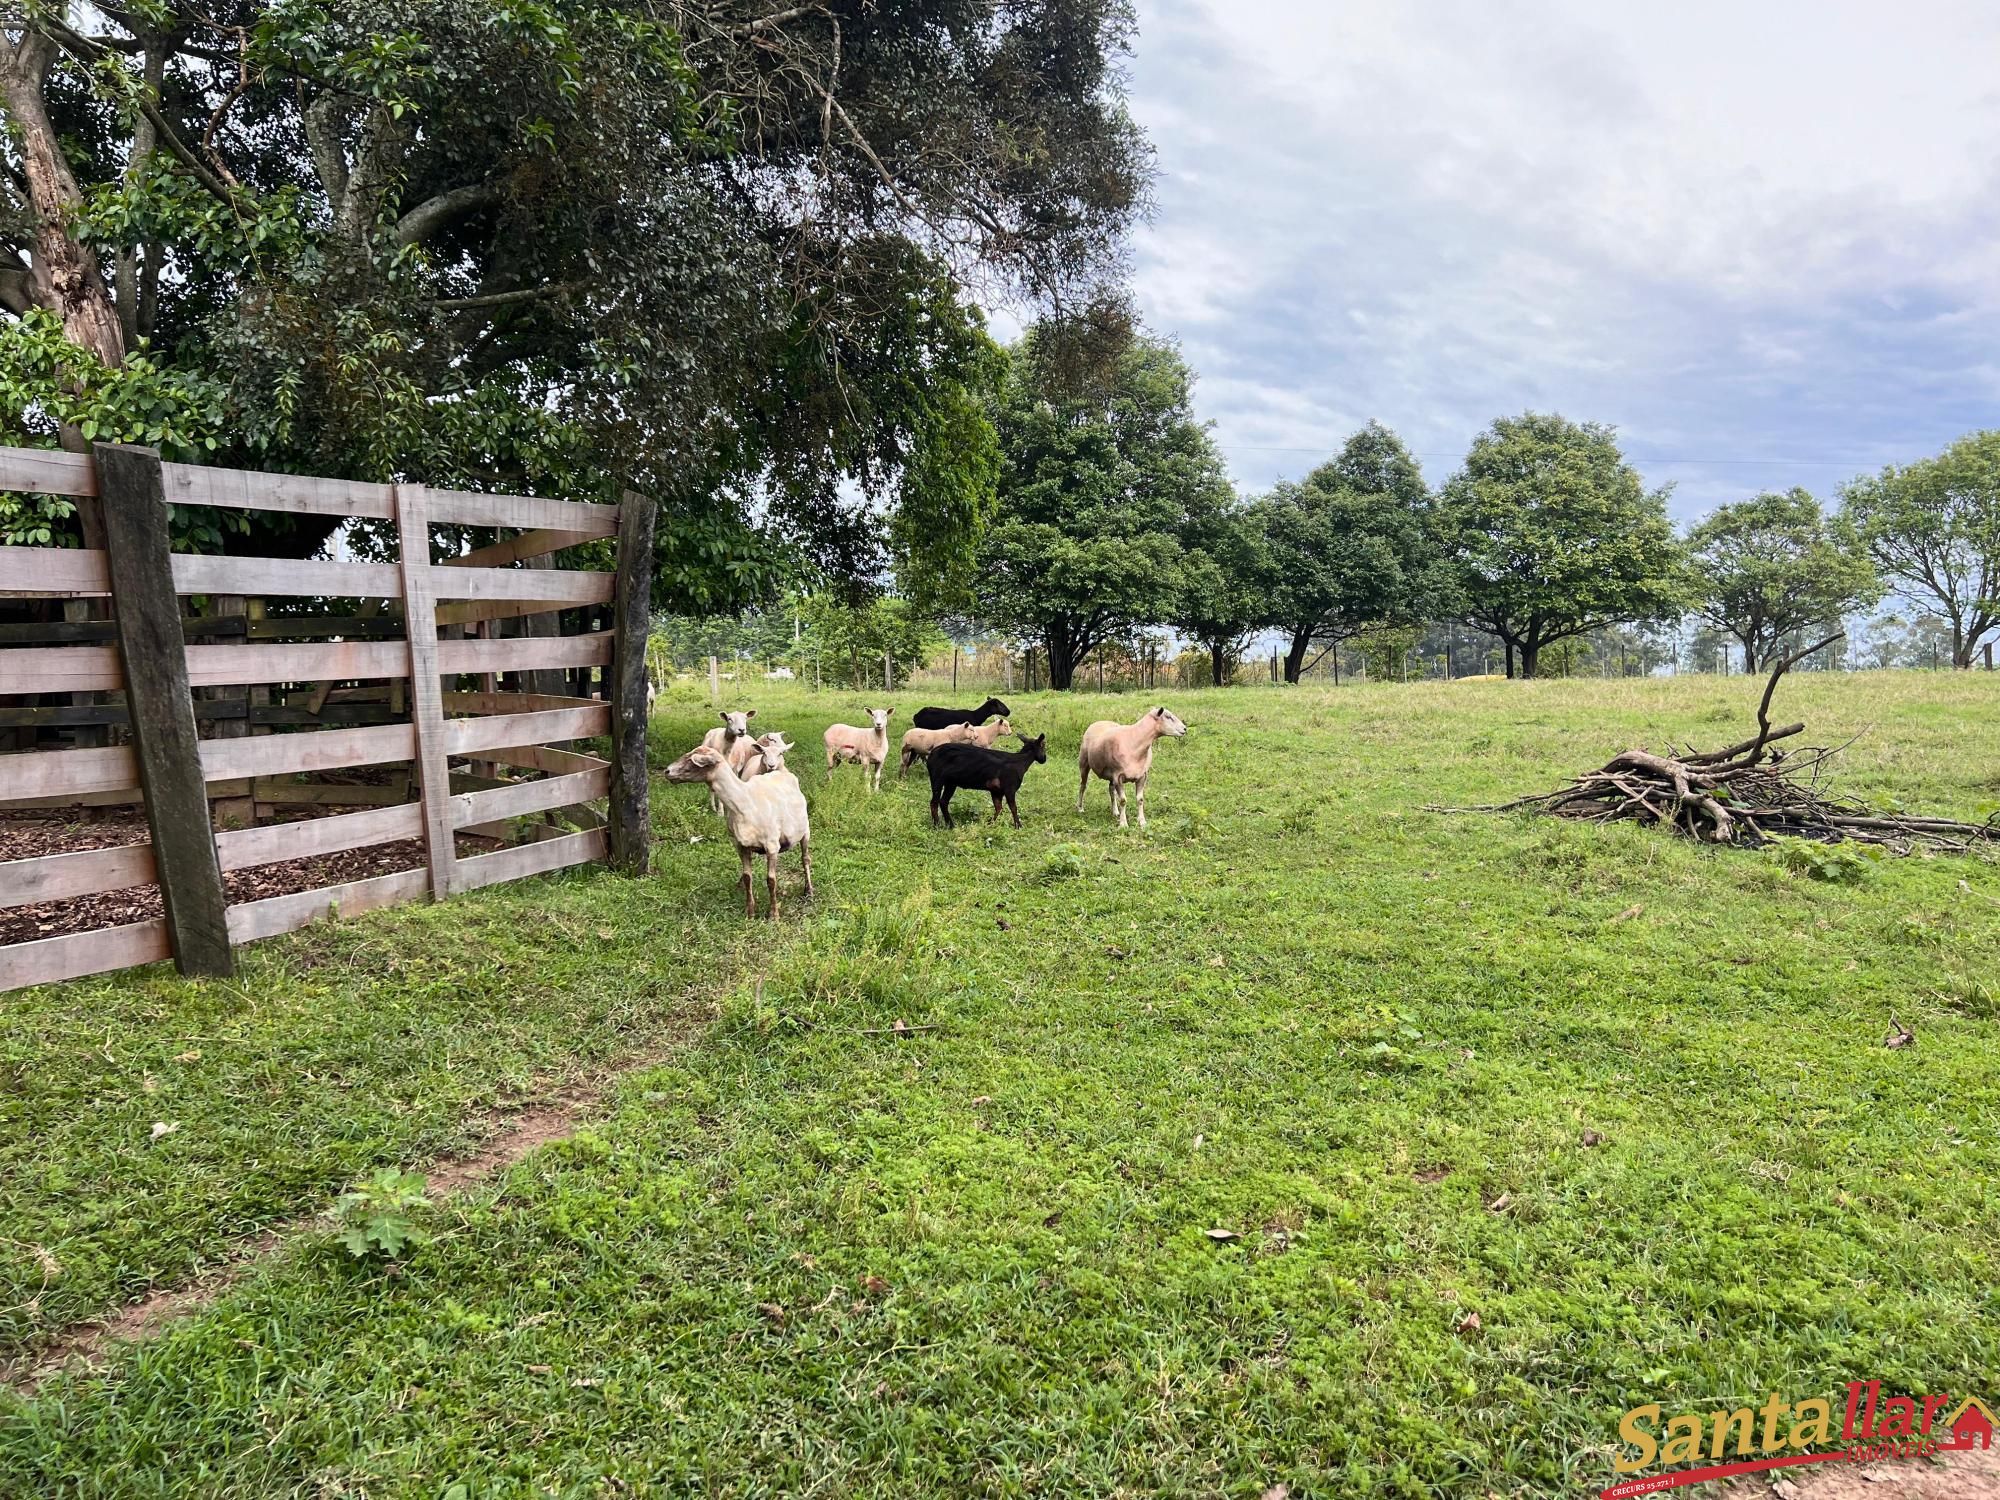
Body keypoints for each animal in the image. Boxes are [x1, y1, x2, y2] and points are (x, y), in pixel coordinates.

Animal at [672, 748, 812, 924]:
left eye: (692, 760)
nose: (667, 771)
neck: (743, 802)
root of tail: (783, 773)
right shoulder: (740, 845)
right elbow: (747, 877)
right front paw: (750, 912)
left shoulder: (772, 845)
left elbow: (771, 880)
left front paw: (773, 915)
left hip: (805, 831)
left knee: (805, 859)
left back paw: (809, 891)